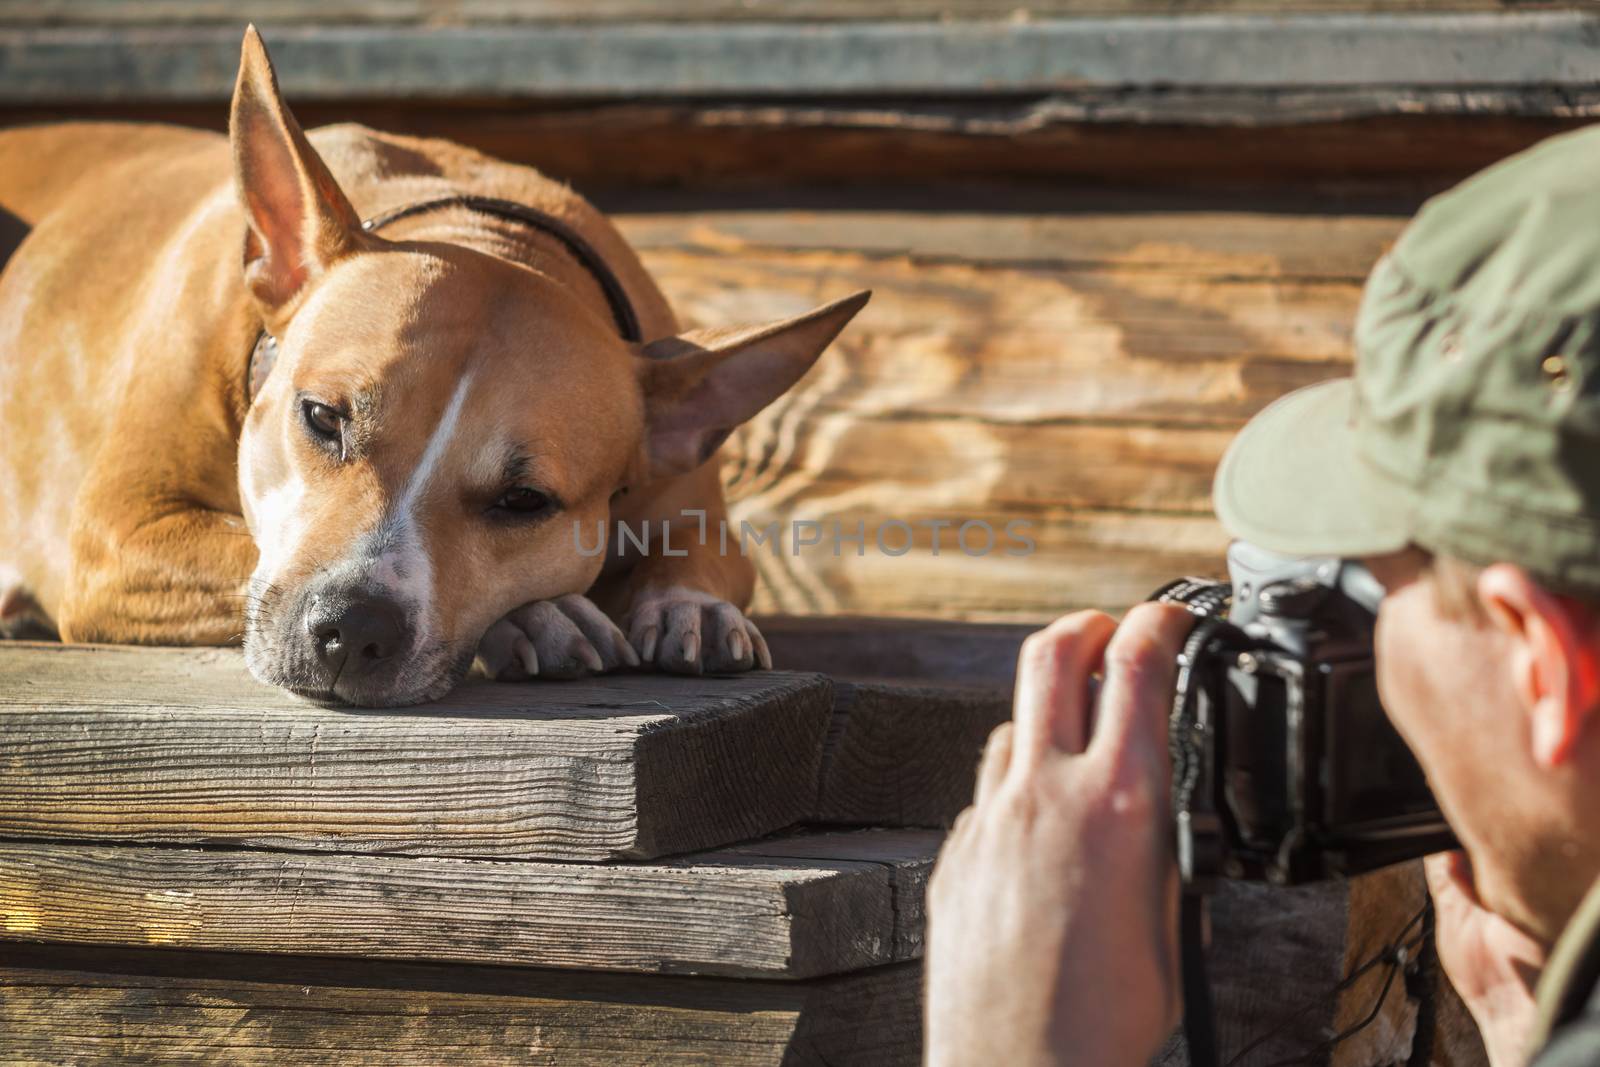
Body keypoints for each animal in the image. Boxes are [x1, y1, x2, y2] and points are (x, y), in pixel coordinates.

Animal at [0, 29, 870, 703]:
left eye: (524, 501)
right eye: (322, 418)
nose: (352, 628)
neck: (486, 229)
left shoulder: (699, 504)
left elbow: (698, 555)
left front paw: (692, 607)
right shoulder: (118, 531)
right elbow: (238, 545)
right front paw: (540, 613)